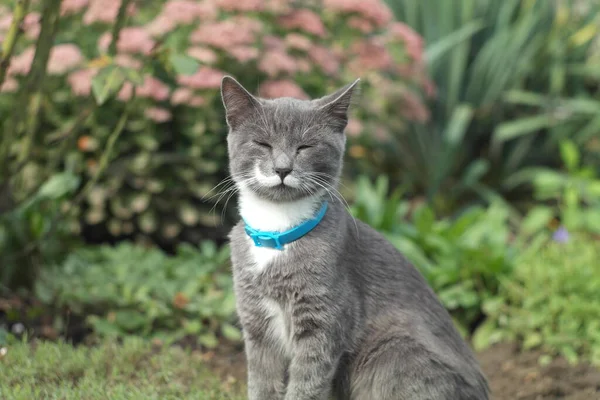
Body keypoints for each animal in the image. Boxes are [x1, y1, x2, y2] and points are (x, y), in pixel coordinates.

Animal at [220, 76, 488, 400]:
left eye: (305, 146)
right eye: (262, 143)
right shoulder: (256, 325)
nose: (282, 169)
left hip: (396, 350)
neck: (278, 232)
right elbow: (262, 384)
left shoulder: (323, 324)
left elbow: (306, 385)